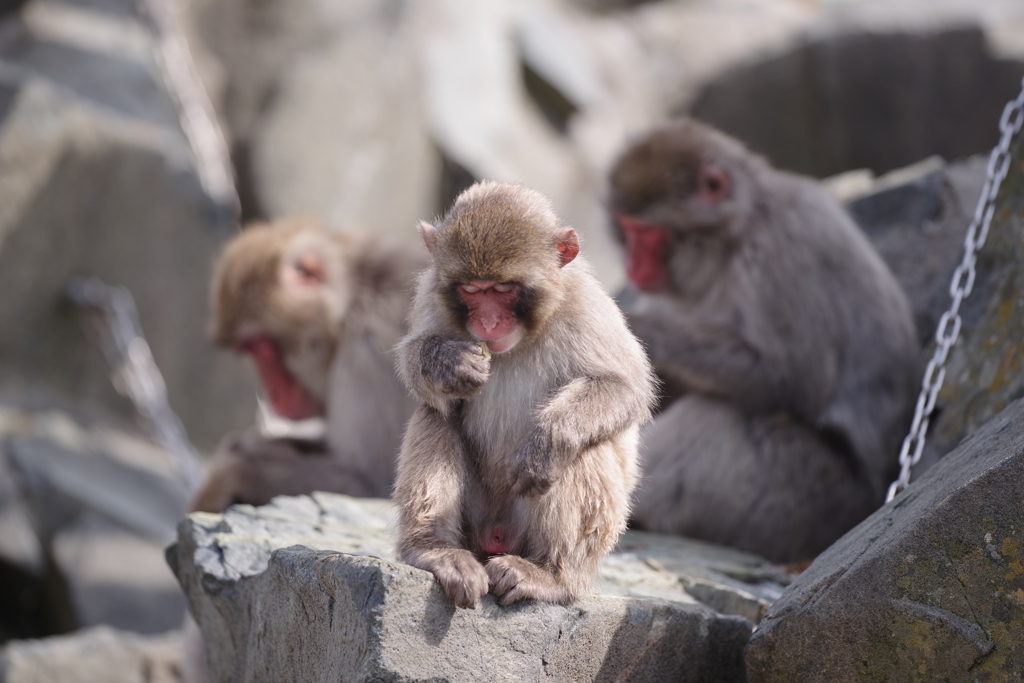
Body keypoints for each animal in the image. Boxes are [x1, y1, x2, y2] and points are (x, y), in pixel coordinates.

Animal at [192, 220, 428, 511]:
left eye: (260, 346)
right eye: (247, 348)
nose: (270, 394)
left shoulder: (372, 355)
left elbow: (374, 482)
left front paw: (234, 472)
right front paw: (252, 446)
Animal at [391, 181, 655, 610]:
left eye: (503, 289)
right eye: (471, 289)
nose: (487, 322)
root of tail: (496, 538)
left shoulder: (587, 306)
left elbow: (624, 387)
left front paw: (546, 443)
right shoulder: (432, 292)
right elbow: (414, 363)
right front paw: (448, 364)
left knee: (586, 447)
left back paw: (552, 574)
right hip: (476, 523)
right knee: (435, 413)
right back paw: (434, 548)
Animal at [606, 120, 921, 565]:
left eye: (646, 233)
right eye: (626, 228)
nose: (632, 266)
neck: (732, 240)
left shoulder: (783, 243)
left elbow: (792, 377)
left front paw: (638, 328)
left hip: (809, 495)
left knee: (721, 417)